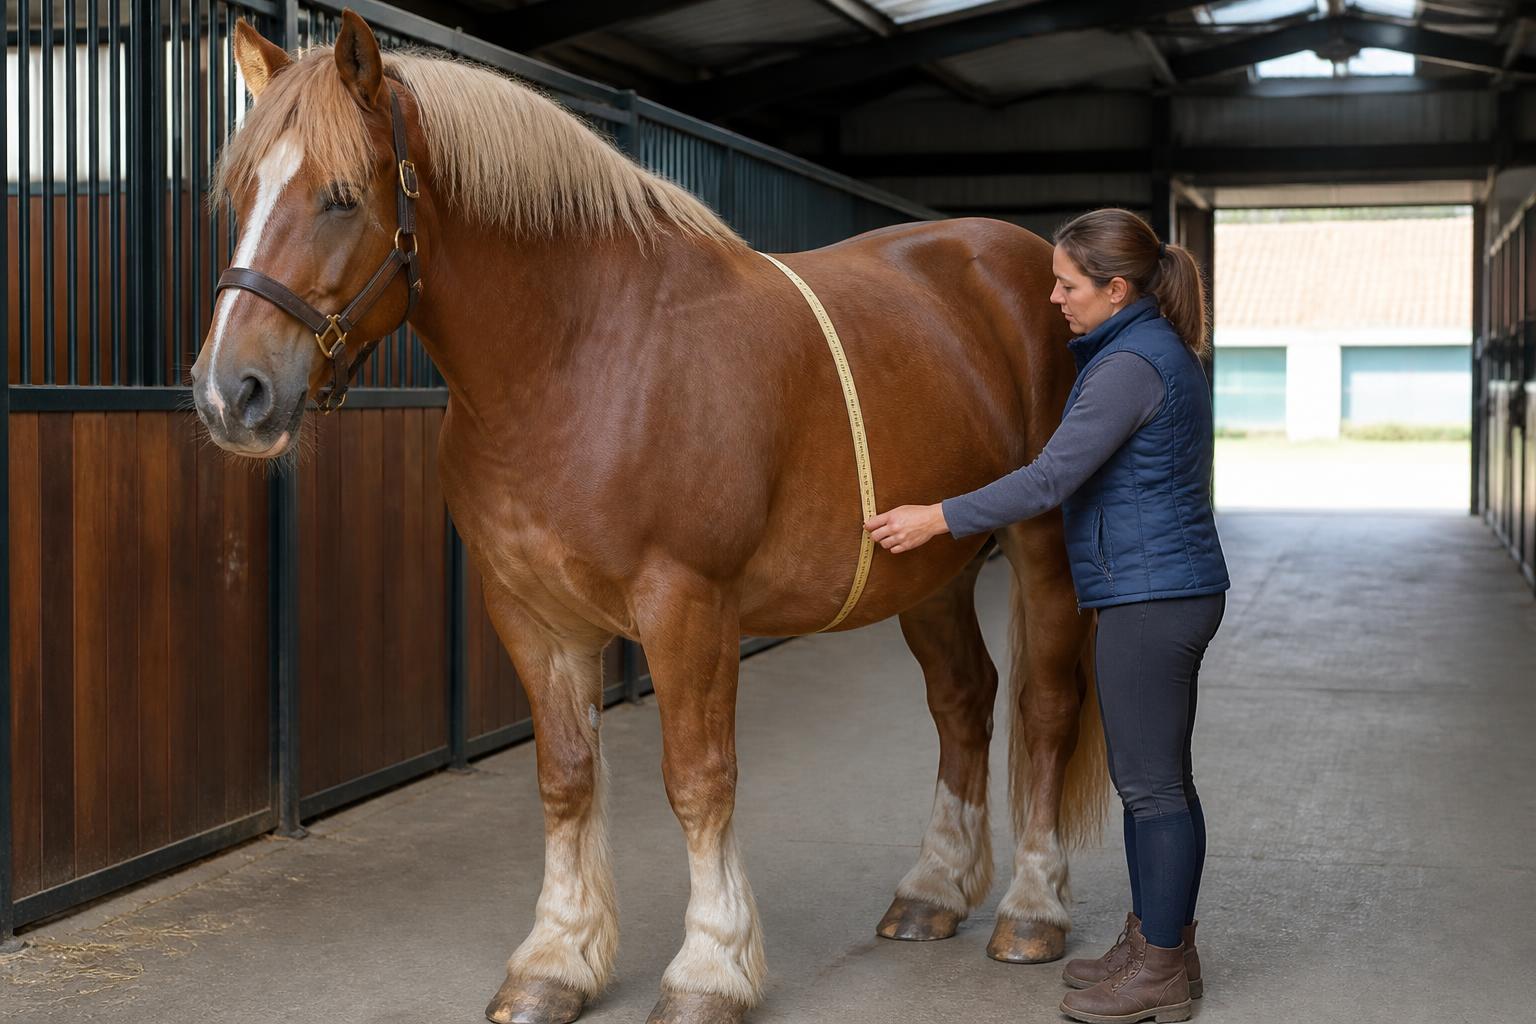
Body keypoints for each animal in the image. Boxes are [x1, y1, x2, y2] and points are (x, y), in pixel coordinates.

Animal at [192, 11, 1108, 1024]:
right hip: (931, 568)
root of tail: (1027, 260)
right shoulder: (531, 613)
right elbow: (565, 777)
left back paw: (1032, 909)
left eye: (343, 198)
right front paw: (556, 961)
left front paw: (710, 968)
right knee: (963, 701)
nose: (231, 395)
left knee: (1045, 706)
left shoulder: (687, 606)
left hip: (1043, 547)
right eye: (241, 193)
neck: (582, 354)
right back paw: (932, 892)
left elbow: (698, 780)